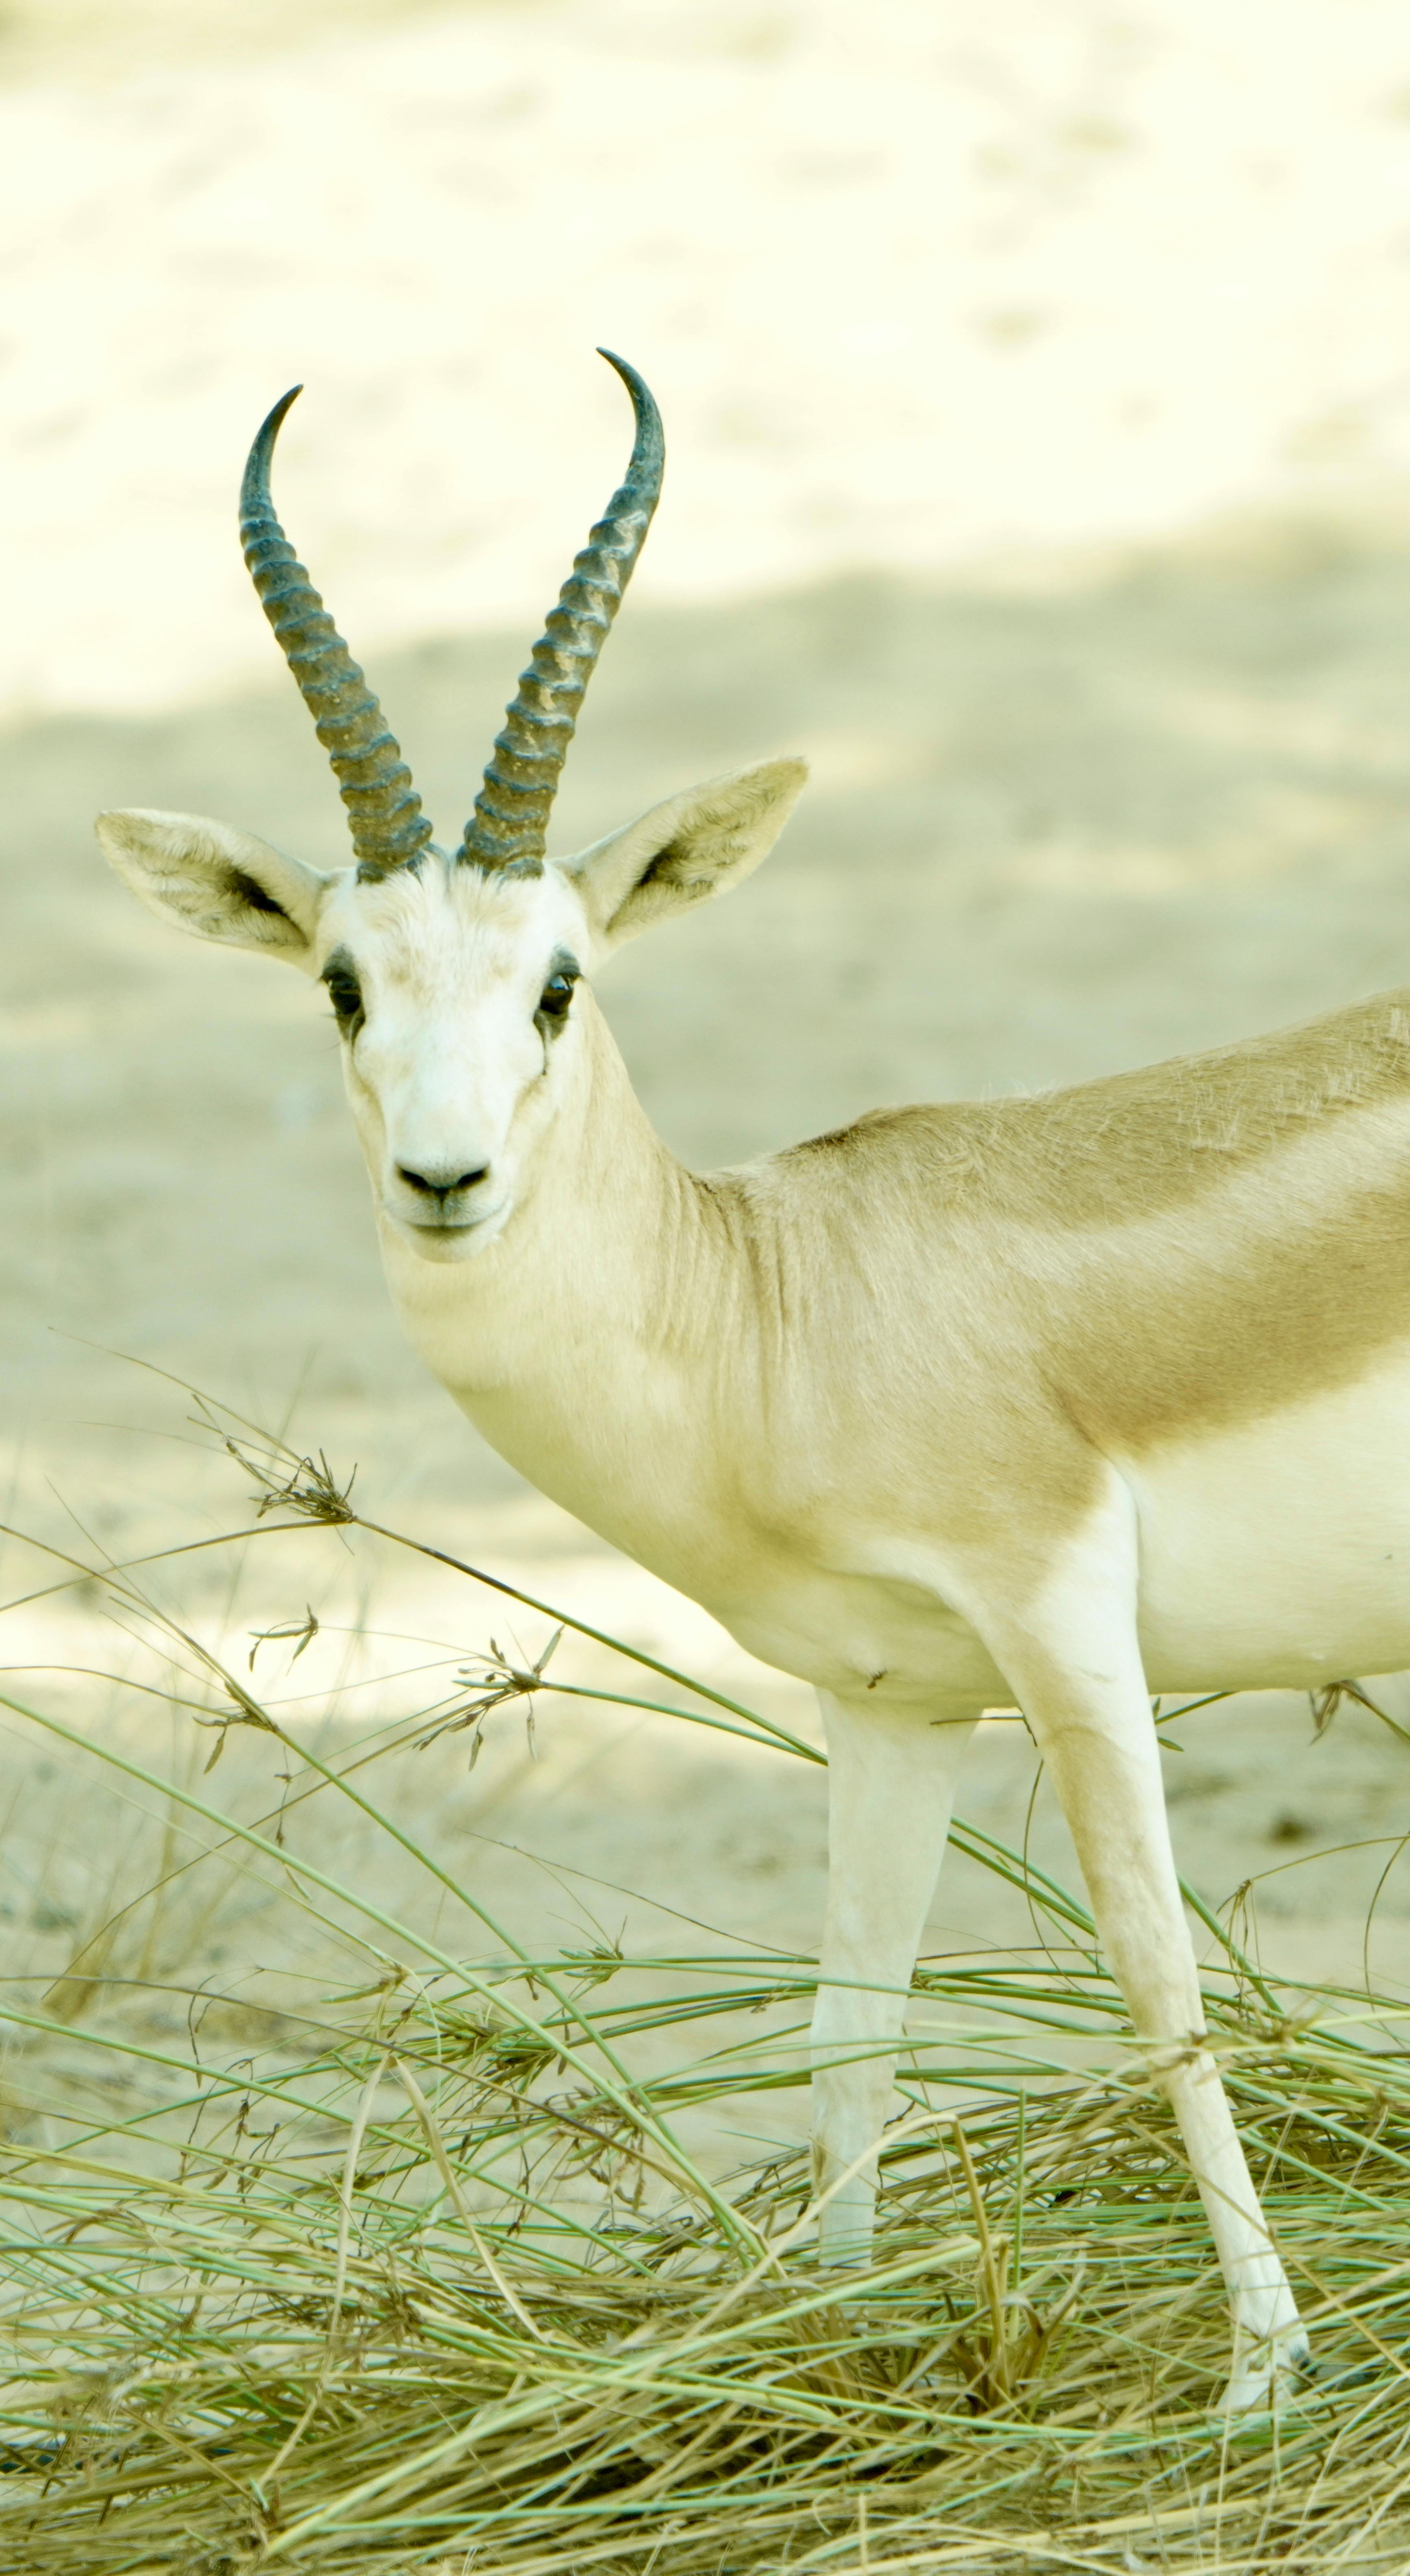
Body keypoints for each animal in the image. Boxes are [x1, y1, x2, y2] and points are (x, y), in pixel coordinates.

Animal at [98, 349, 1404, 2413]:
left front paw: (1260, 2376)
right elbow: (846, 2017)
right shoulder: (894, 1704)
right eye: (339, 984)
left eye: (558, 981)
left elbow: (1155, 1971)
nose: (445, 1179)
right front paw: (835, 2344)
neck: (780, 1311)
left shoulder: (1059, 1621)